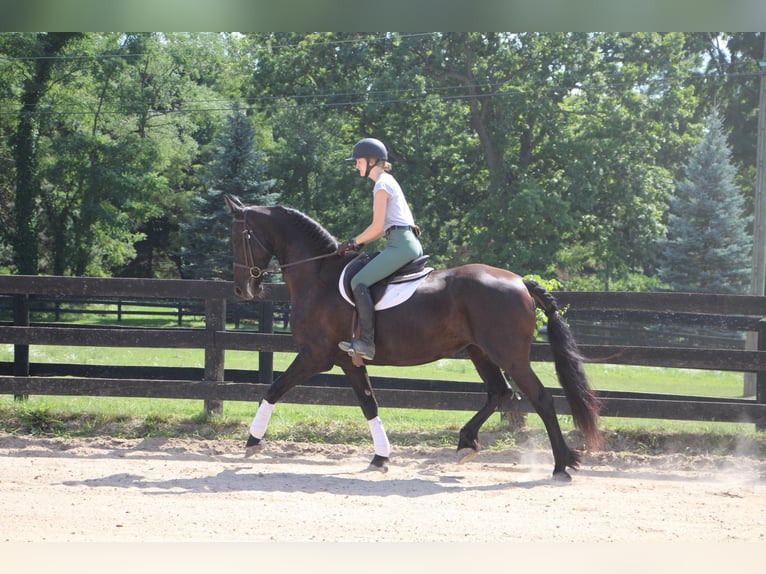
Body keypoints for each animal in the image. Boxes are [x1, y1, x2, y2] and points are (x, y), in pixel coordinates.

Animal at [225, 196, 604, 484]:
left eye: (239, 237)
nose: (242, 290)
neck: (319, 276)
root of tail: (520, 281)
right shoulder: (349, 360)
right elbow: (369, 404)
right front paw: (380, 458)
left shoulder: (316, 355)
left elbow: (274, 388)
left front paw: (253, 441)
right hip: (480, 352)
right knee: (500, 392)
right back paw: (466, 444)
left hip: (509, 355)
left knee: (540, 399)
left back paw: (561, 465)